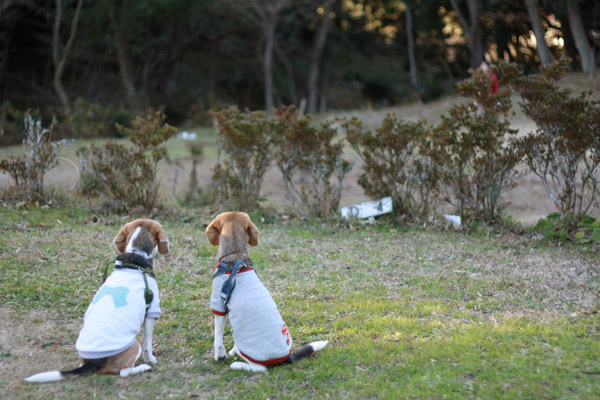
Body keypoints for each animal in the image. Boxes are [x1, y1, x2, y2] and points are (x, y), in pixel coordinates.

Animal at [24, 220, 170, 382]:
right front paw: (150, 359)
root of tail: (92, 362)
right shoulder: (151, 310)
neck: (136, 254)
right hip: (134, 345)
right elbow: (148, 342)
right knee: (124, 372)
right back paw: (143, 368)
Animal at [206, 212, 328, 372]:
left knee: (260, 368)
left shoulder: (218, 305)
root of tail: (287, 358)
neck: (236, 255)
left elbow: (218, 338)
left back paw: (237, 363)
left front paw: (220, 356)